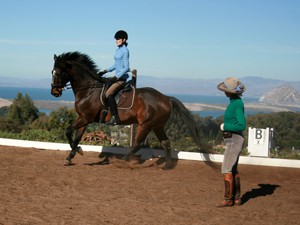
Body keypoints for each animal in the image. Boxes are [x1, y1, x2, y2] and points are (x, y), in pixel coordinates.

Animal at [51, 51, 202, 170]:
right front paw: (72, 155)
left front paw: (78, 151)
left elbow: (68, 130)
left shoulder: (86, 117)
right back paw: (167, 166)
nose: (54, 92)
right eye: (52, 72)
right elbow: (76, 137)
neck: (89, 90)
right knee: (165, 142)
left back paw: (122, 161)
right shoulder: (83, 118)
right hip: (157, 125)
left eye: (58, 72)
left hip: (145, 124)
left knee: (138, 144)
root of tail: (166, 98)